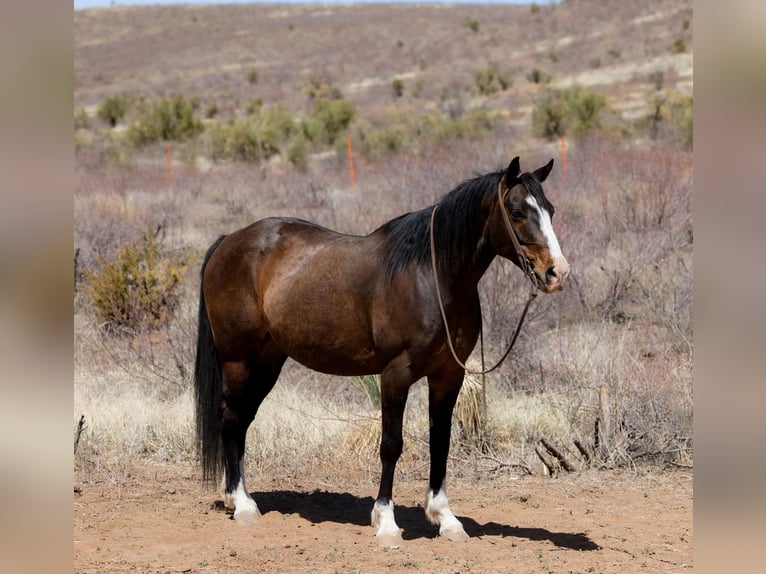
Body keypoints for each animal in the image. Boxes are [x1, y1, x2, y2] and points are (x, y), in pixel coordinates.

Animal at [194, 156, 569, 547]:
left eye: (550, 210)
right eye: (516, 211)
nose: (557, 273)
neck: (432, 277)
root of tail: (228, 241)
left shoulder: (448, 375)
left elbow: (441, 441)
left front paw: (445, 518)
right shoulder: (395, 374)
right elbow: (391, 445)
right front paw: (386, 523)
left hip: (268, 362)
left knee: (241, 422)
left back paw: (236, 497)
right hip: (238, 361)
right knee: (230, 419)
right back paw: (242, 504)